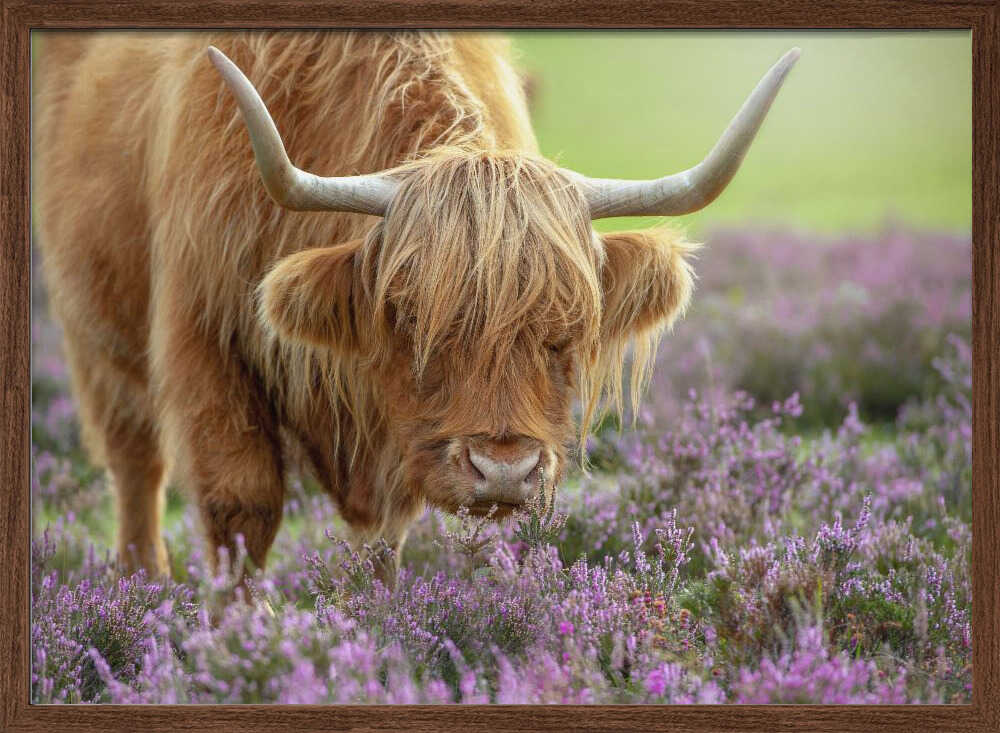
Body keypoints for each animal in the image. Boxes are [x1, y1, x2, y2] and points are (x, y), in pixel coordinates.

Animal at [34, 32, 798, 581]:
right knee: (136, 467)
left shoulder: (390, 431)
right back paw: (144, 587)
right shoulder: (205, 339)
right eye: (408, 317)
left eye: (566, 330)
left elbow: (383, 537)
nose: (504, 470)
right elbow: (240, 507)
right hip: (93, 335)